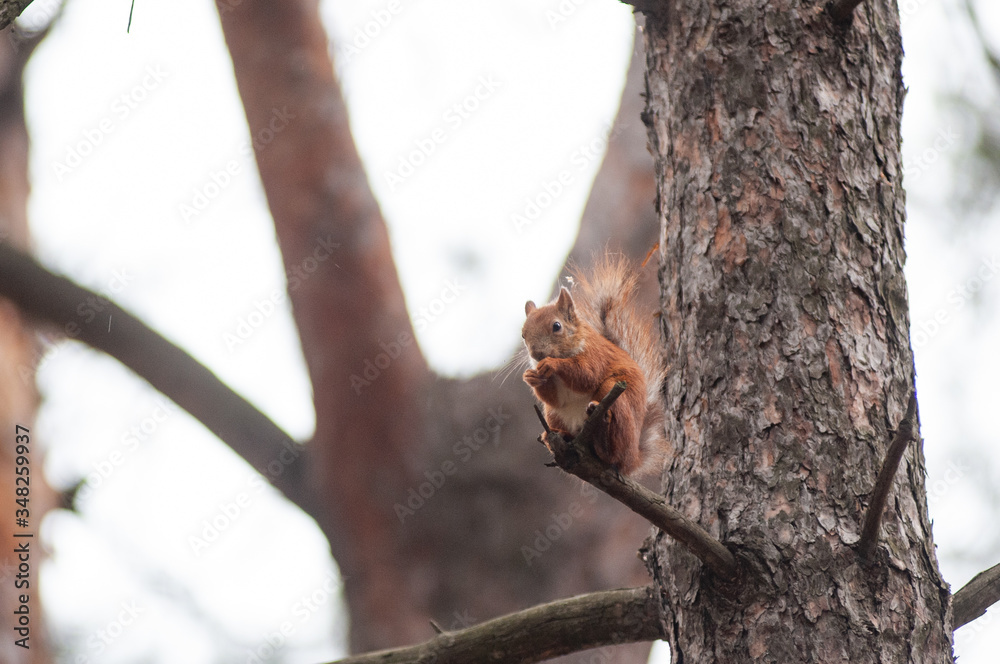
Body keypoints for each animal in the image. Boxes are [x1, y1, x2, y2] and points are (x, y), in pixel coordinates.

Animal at [521, 254, 667, 477]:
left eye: (557, 326)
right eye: (523, 334)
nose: (536, 355)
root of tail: (633, 460)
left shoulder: (596, 355)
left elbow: (586, 375)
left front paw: (553, 364)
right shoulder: (554, 396)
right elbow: (554, 398)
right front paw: (531, 378)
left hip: (614, 397)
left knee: (612, 456)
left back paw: (604, 433)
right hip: (552, 414)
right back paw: (560, 435)